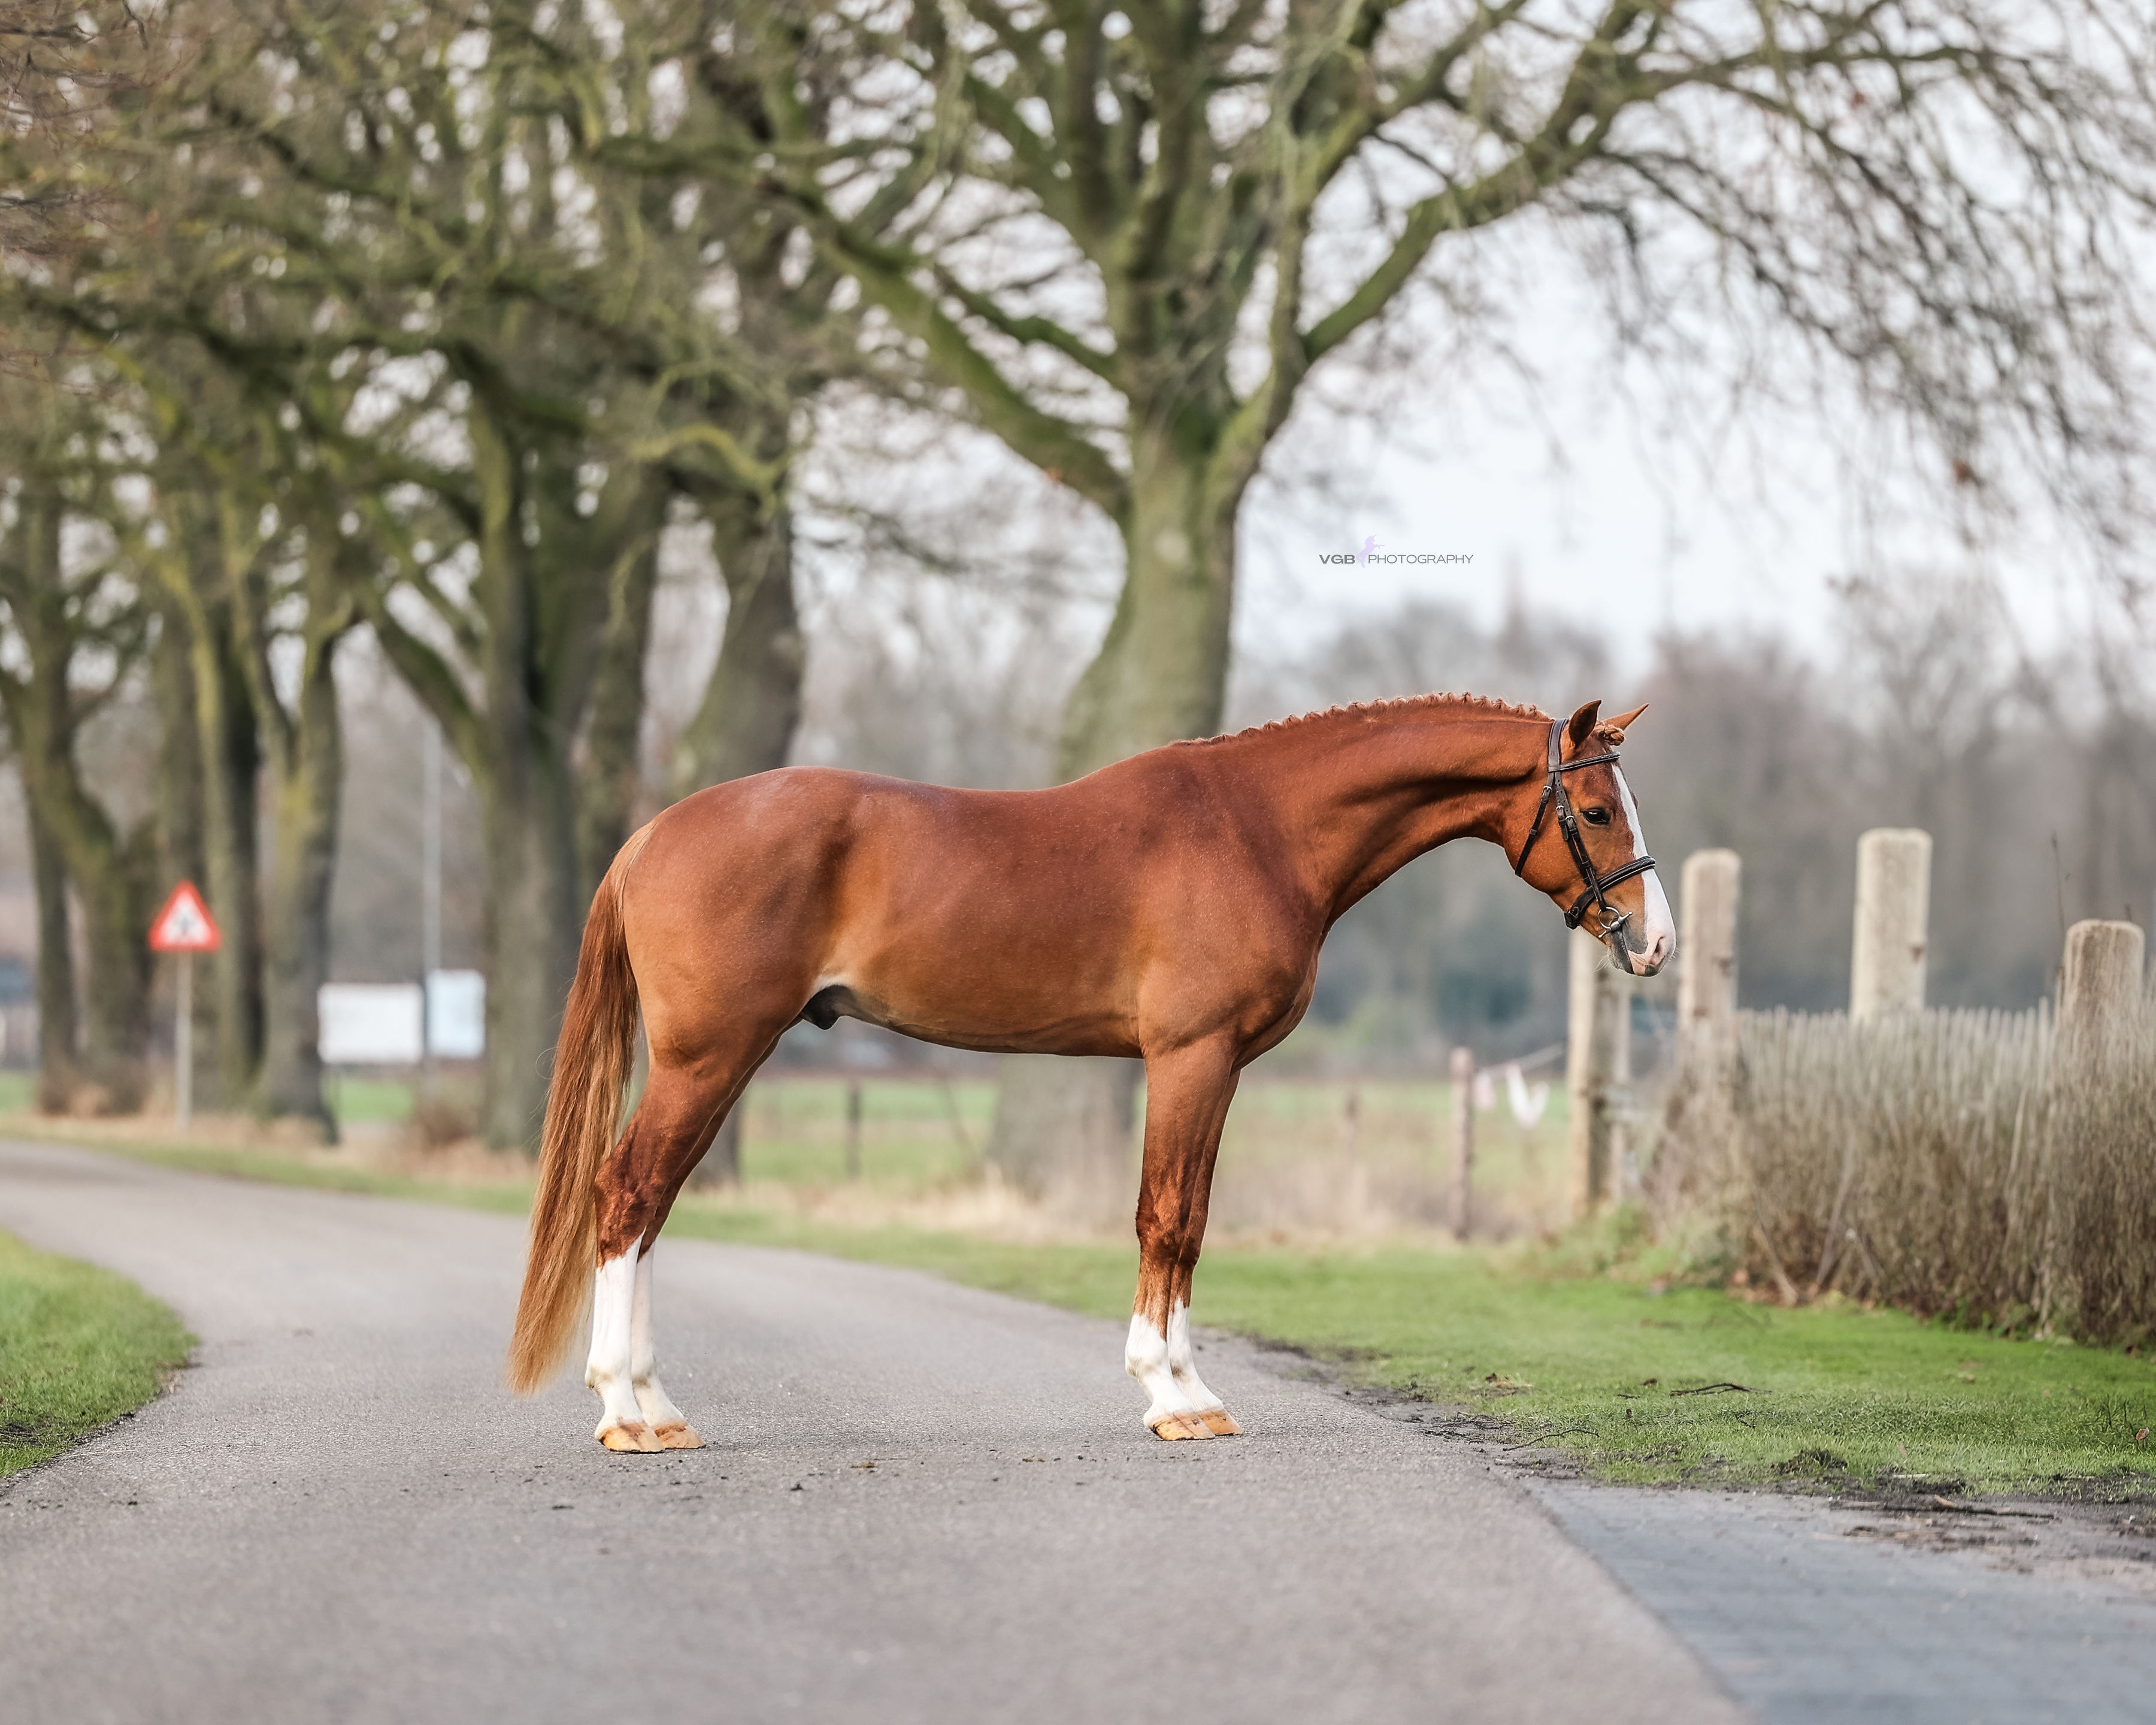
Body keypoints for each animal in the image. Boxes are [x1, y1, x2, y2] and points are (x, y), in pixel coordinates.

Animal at [507, 695, 1675, 1450]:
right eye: (1598, 810)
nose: (1654, 943)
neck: (1258, 829)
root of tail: (650, 837)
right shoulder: (1191, 1058)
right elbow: (1171, 1219)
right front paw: (1175, 1397)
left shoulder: (1212, 1068)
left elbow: (1186, 1218)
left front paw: (1183, 1389)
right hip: (709, 1058)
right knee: (628, 1197)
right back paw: (626, 1413)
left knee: (648, 1207)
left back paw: (655, 1407)